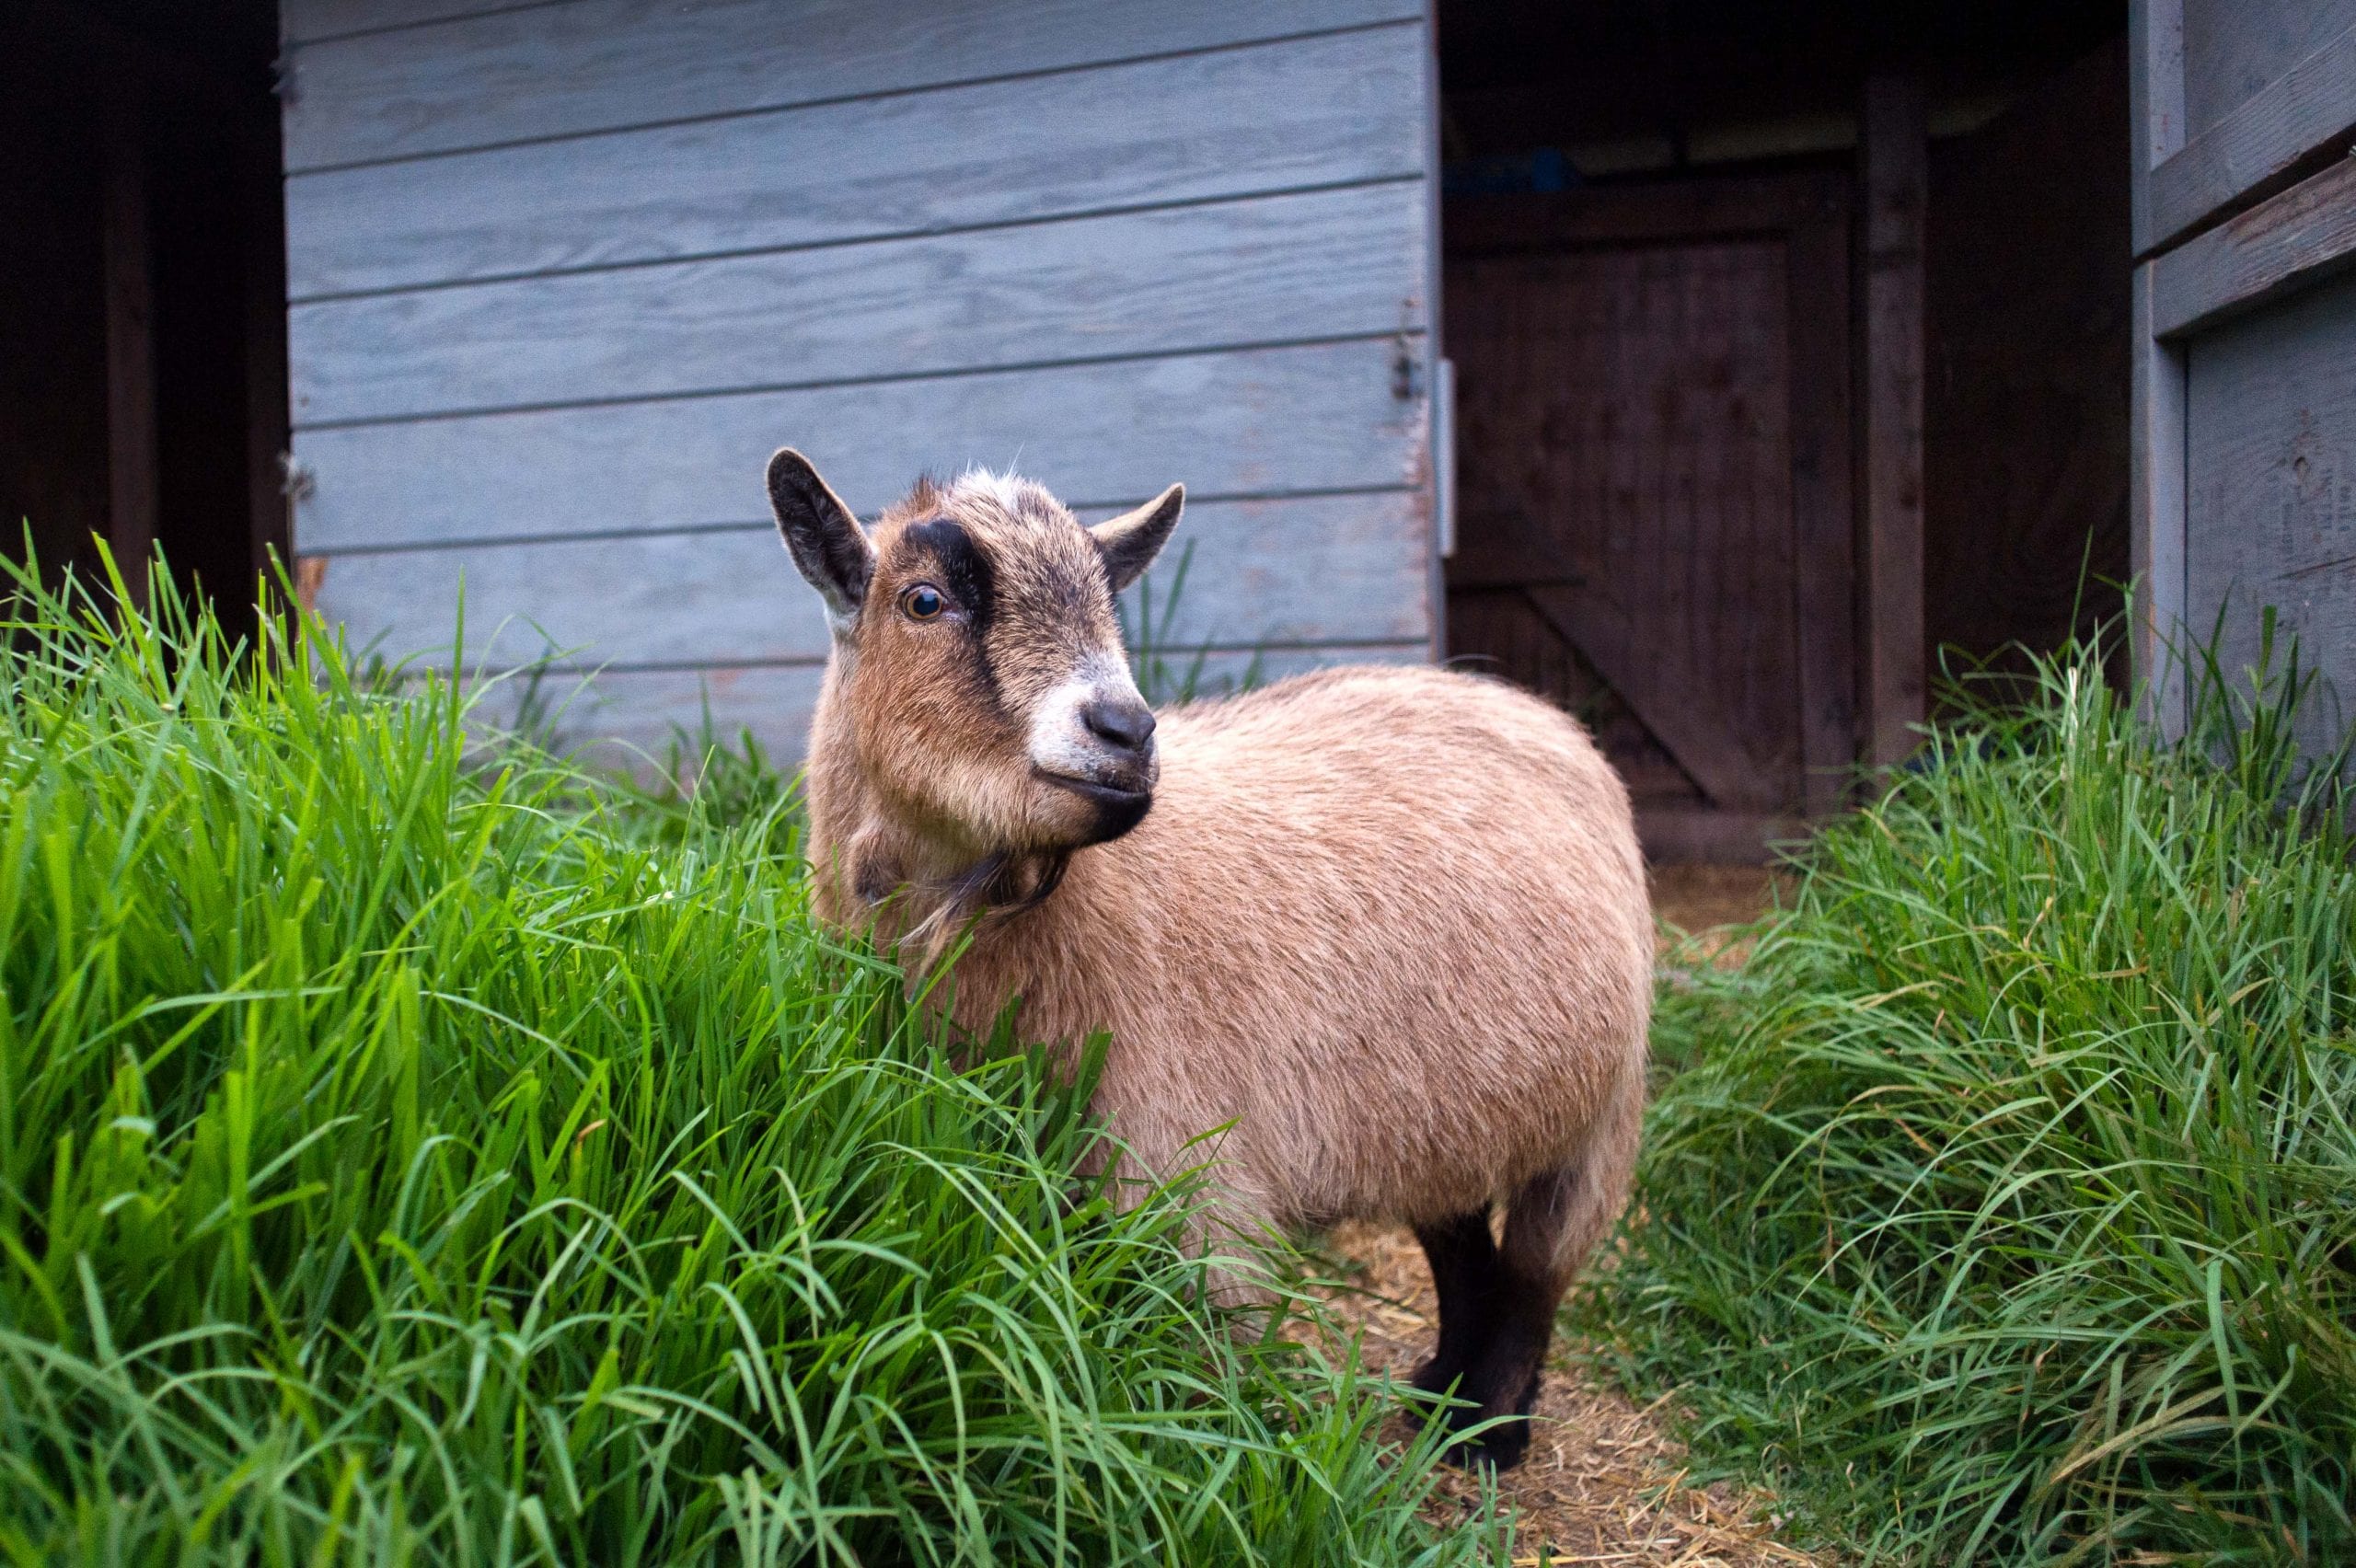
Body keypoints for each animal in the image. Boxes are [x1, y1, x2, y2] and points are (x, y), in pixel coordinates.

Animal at [767, 448, 1651, 1469]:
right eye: (923, 600)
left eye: (1108, 601)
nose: (1125, 731)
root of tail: (1512, 700)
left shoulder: (1192, 1180)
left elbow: (1206, 1373)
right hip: (1447, 1106)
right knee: (1460, 1236)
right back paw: (1440, 1397)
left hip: (1604, 1111)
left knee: (1543, 1268)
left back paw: (1491, 1429)